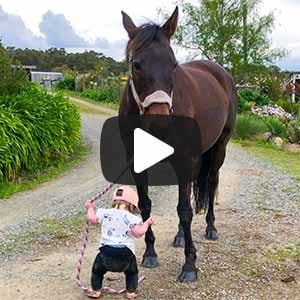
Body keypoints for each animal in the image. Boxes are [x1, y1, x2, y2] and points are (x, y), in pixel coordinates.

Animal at [118, 6, 238, 282]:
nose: (161, 124)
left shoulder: (185, 159)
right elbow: (146, 204)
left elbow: (185, 210)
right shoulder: (139, 163)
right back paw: (181, 236)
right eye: (136, 64)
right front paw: (150, 252)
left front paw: (190, 264)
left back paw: (211, 228)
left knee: (211, 182)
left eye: (173, 65)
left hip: (219, 148)